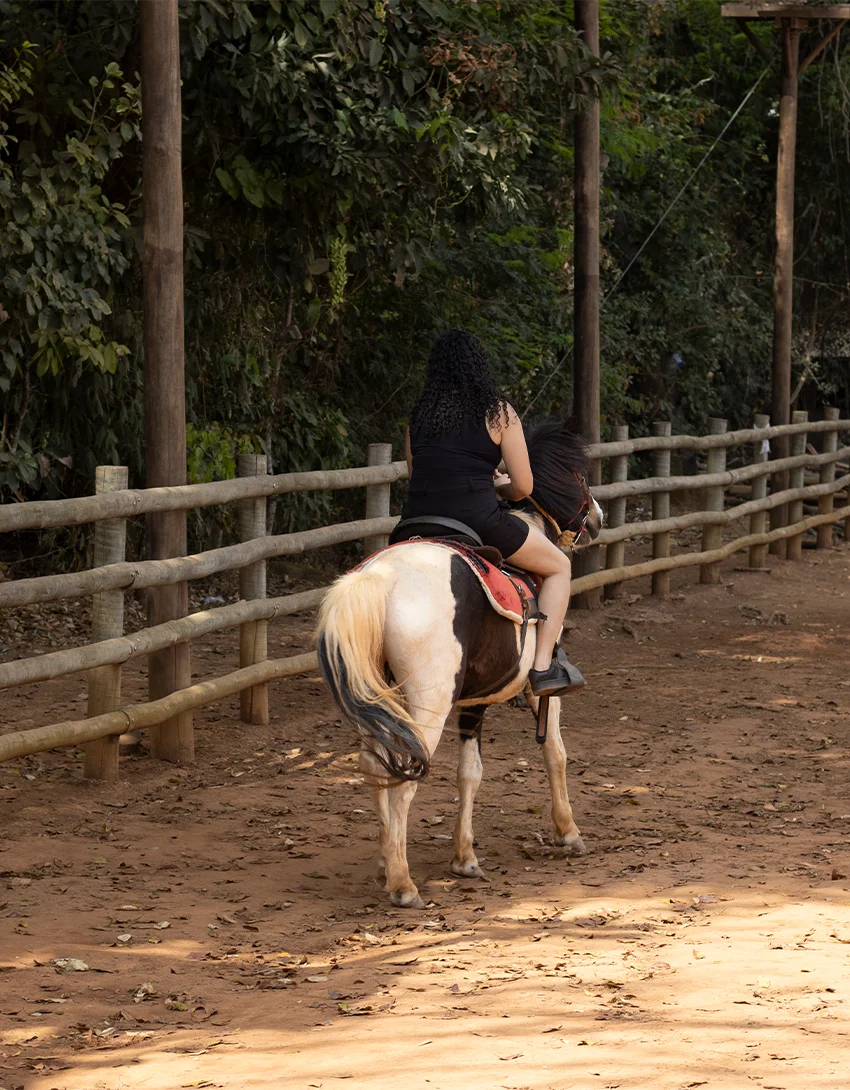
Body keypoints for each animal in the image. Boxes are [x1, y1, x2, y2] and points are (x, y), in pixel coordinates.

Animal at [317, 421, 602, 908]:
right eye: (580, 476)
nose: (597, 519)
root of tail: (380, 578)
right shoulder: (538, 689)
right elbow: (555, 751)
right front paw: (568, 832)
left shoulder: (474, 702)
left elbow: (470, 774)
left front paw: (464, 857)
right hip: (427, 703)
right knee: (405, 775)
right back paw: (403, 884)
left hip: (375, 699)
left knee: (377, 766)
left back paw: (387, 860)